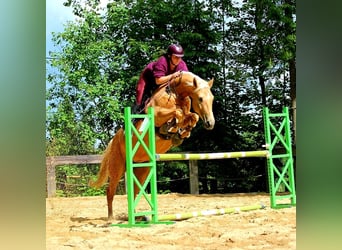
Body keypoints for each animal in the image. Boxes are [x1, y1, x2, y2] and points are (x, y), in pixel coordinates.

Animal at [89, 71, 215, 220]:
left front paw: (181, 133)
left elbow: (192, 116)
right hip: (117, 167)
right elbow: (177, 113)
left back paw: (137, 216)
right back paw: (111, 218)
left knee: (134, 192)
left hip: (142, 169)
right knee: (110, 191)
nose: (210, 123)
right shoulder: (157, 114)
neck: (176, 93)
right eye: (200, 99)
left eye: (212, 99)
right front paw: (170, 128)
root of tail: (112, 141)